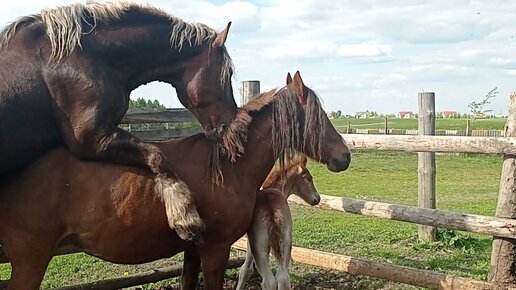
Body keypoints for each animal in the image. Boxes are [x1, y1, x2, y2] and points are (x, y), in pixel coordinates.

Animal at [0, 2, 238, 241]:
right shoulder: (91, 139)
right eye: (227, 74)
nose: (229, 123)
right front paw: (186, 218)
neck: (77, 57)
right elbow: (158, 156)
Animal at [237, 154, 318, 290]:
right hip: (286, 243)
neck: (274, 188)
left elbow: (245, 270)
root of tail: (272, 211)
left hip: (261, 248)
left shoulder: (250, 243)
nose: (318, 199)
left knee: (269, 281)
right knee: (282, 277)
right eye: (309, 178)